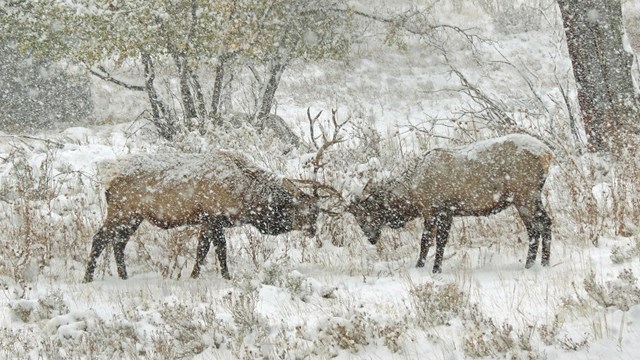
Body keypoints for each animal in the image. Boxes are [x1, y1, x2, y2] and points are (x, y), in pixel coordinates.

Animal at [85, 150, 322, 282]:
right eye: (307, 210)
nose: (314, 231)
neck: (246, 197)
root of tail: (106, 174)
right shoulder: (214, 217)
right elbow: (220, 250)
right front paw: (226, 276)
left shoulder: (207, 221)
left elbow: (202, 250)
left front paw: (193, 275)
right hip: (121, 211)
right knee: (100, 238)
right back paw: (87, 277)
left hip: (133, 217)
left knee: (118, 242)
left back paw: (123, 276)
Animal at [348, 134, 552, 272]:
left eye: (365, 215)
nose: (371, 238)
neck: (413, 193)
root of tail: (548, 154)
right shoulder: (439, 212)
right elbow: (433, 241)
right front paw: (427, 266)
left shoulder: (439, 209)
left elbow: (433, 241)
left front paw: (429, 268)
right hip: (529, 197)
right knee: (543, 223)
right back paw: (543, 263)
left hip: (525, 195)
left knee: (537, 226)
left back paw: (531, 264)